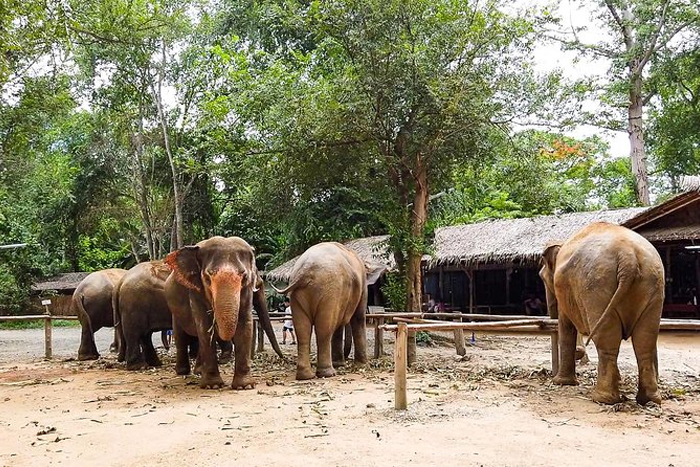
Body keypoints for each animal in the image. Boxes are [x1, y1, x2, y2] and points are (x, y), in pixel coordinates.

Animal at [165, 236, 284, 390]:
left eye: (244, 276)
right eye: (207, 278)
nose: (282, 357)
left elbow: (245, 323)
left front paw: (245, 386)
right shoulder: (196, 291)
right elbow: (205, 325)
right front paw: (213, 386)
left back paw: (199, 371)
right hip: (174, 310)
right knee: (180, 335)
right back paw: (183, 372)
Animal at [274, 243, 370, 382]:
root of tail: (304, 270)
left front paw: (340, 364)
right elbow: (358, 318)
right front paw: (361, 366)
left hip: (296, 295)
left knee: (302, 330)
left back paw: (305, 376)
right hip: (330, 291)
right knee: (324, 329)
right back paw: (328, 373)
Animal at [540, 223, 664, 406]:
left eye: (542, 277)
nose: (579, 351)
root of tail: (628, 257)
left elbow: (566, 325)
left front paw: (560, 382)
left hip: (596, 286)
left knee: (606, 340)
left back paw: (602, 399)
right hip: (653, 284)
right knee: (645, 339)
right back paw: (649, 400)